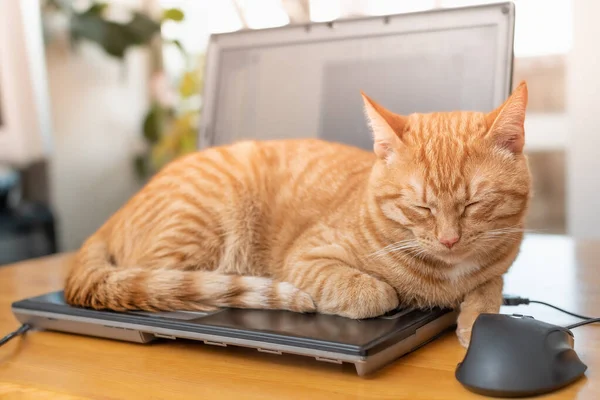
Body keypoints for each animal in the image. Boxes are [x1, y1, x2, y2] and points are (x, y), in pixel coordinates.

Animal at [63, 81, 528, 346]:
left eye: (474, 203)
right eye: (420, 206)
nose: (449, 239)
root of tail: (111, 217)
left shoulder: (497, 268)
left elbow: (490, 290)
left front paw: (474, 320)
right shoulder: (306, 258)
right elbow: (375, 293)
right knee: (165, 284)